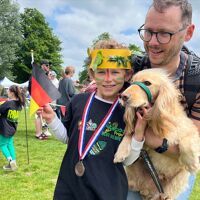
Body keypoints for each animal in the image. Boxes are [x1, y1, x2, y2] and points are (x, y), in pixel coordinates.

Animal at [114, 68, 200, 199]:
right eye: (132, 82)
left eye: (147, 83)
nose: (122, 96)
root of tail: (147, 190)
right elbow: (130, 134)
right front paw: (121, 152)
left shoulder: (189, 129)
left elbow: (187, 142)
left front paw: (192, 162)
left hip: (179, 179)